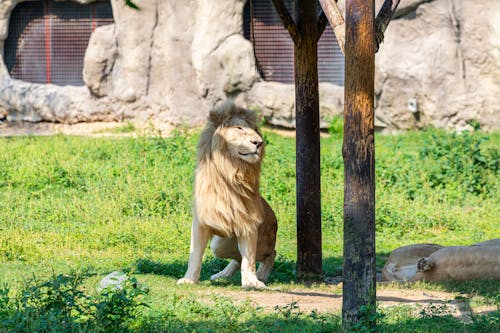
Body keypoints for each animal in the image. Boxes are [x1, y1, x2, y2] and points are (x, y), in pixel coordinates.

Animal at [177, 98, 280, 288]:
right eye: (239, 128)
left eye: (256, 131)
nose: (259, 143)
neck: (232, 171)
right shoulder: (201, 221)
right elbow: (194, 255)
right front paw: (189, 279)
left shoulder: (249, 222)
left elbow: (249, 258)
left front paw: (252, 282)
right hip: (219, 244)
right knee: (237, 258)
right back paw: (222, 275)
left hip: (262, 240)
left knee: (270, 253)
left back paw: (262, 275)